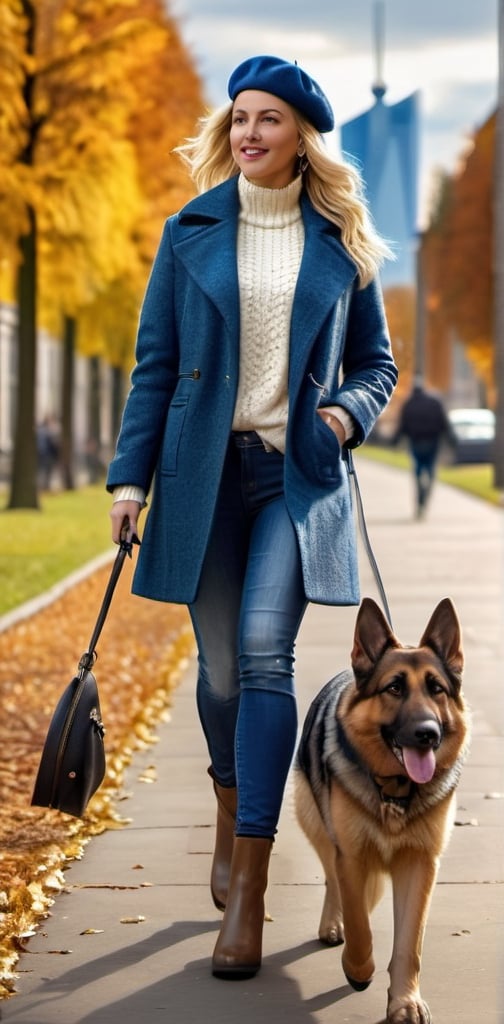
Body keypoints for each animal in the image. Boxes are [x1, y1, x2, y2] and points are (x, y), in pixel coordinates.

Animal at [292, 598, 471, 1019]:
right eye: (394, 688)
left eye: (436, 689)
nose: (428, 734)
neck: (394, 792)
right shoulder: (352, 856)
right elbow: (359, 922)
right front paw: (359, 970)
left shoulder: (420, 865)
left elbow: (410, 944)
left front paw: (405, 1001)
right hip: (314, 821)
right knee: (332, 879)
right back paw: (333, 923)